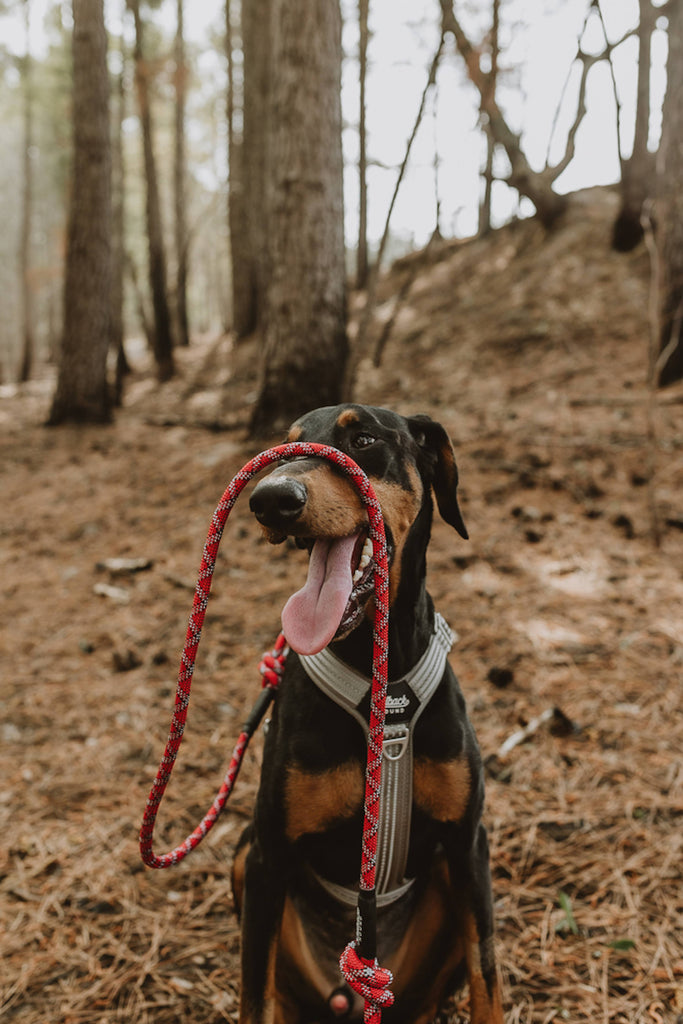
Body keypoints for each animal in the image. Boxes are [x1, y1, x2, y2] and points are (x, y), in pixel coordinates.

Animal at [232, 403, 505, 1019]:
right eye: (284, 450)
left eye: (362, 439)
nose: (270, 499)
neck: (382, 682)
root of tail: (348, 998)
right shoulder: (267, 856)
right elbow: (254, 995)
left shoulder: (468, 843)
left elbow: (488, 979)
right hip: (244, 858)